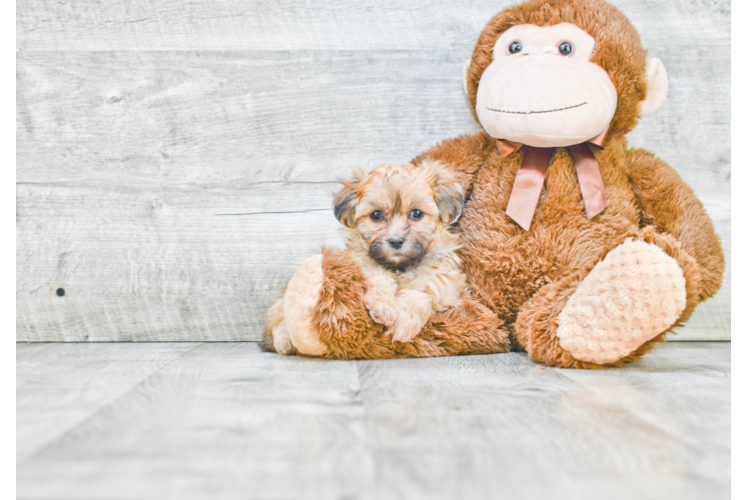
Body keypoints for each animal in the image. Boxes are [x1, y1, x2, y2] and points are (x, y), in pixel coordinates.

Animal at [262, 161, 462, 356]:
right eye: (376, 215)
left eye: (417, 214)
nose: (396, 241)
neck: (399, 267)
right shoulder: (361, 264)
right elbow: (379, 278)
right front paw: (384, 307)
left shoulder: (445, 281)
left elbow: (423, 295)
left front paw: (404, 322)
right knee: (278, 321)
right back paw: (285, 342)